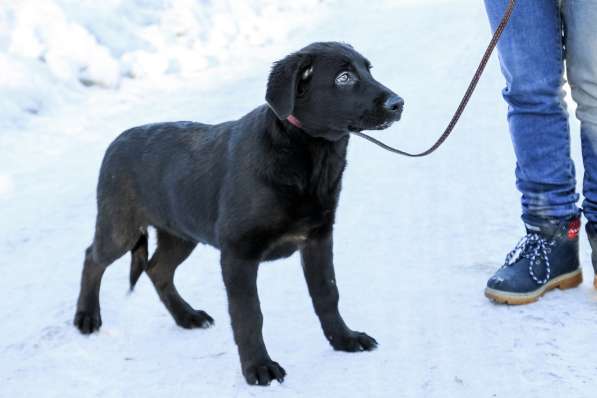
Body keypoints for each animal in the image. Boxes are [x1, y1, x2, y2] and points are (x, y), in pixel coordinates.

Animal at [73, 42, 400, 386]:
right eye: (344, 77)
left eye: (368, 70)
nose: (399, 103)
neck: (310, 154)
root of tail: (117, 140)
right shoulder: (238, 253)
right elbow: (249, 314)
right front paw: (259, 367)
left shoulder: (318, 238)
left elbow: (327, 294)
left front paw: (344, 339)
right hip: (121, 227)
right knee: (93, 257)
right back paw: (87, 317)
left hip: (180, 232)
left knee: (157, 268)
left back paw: (187, 317)